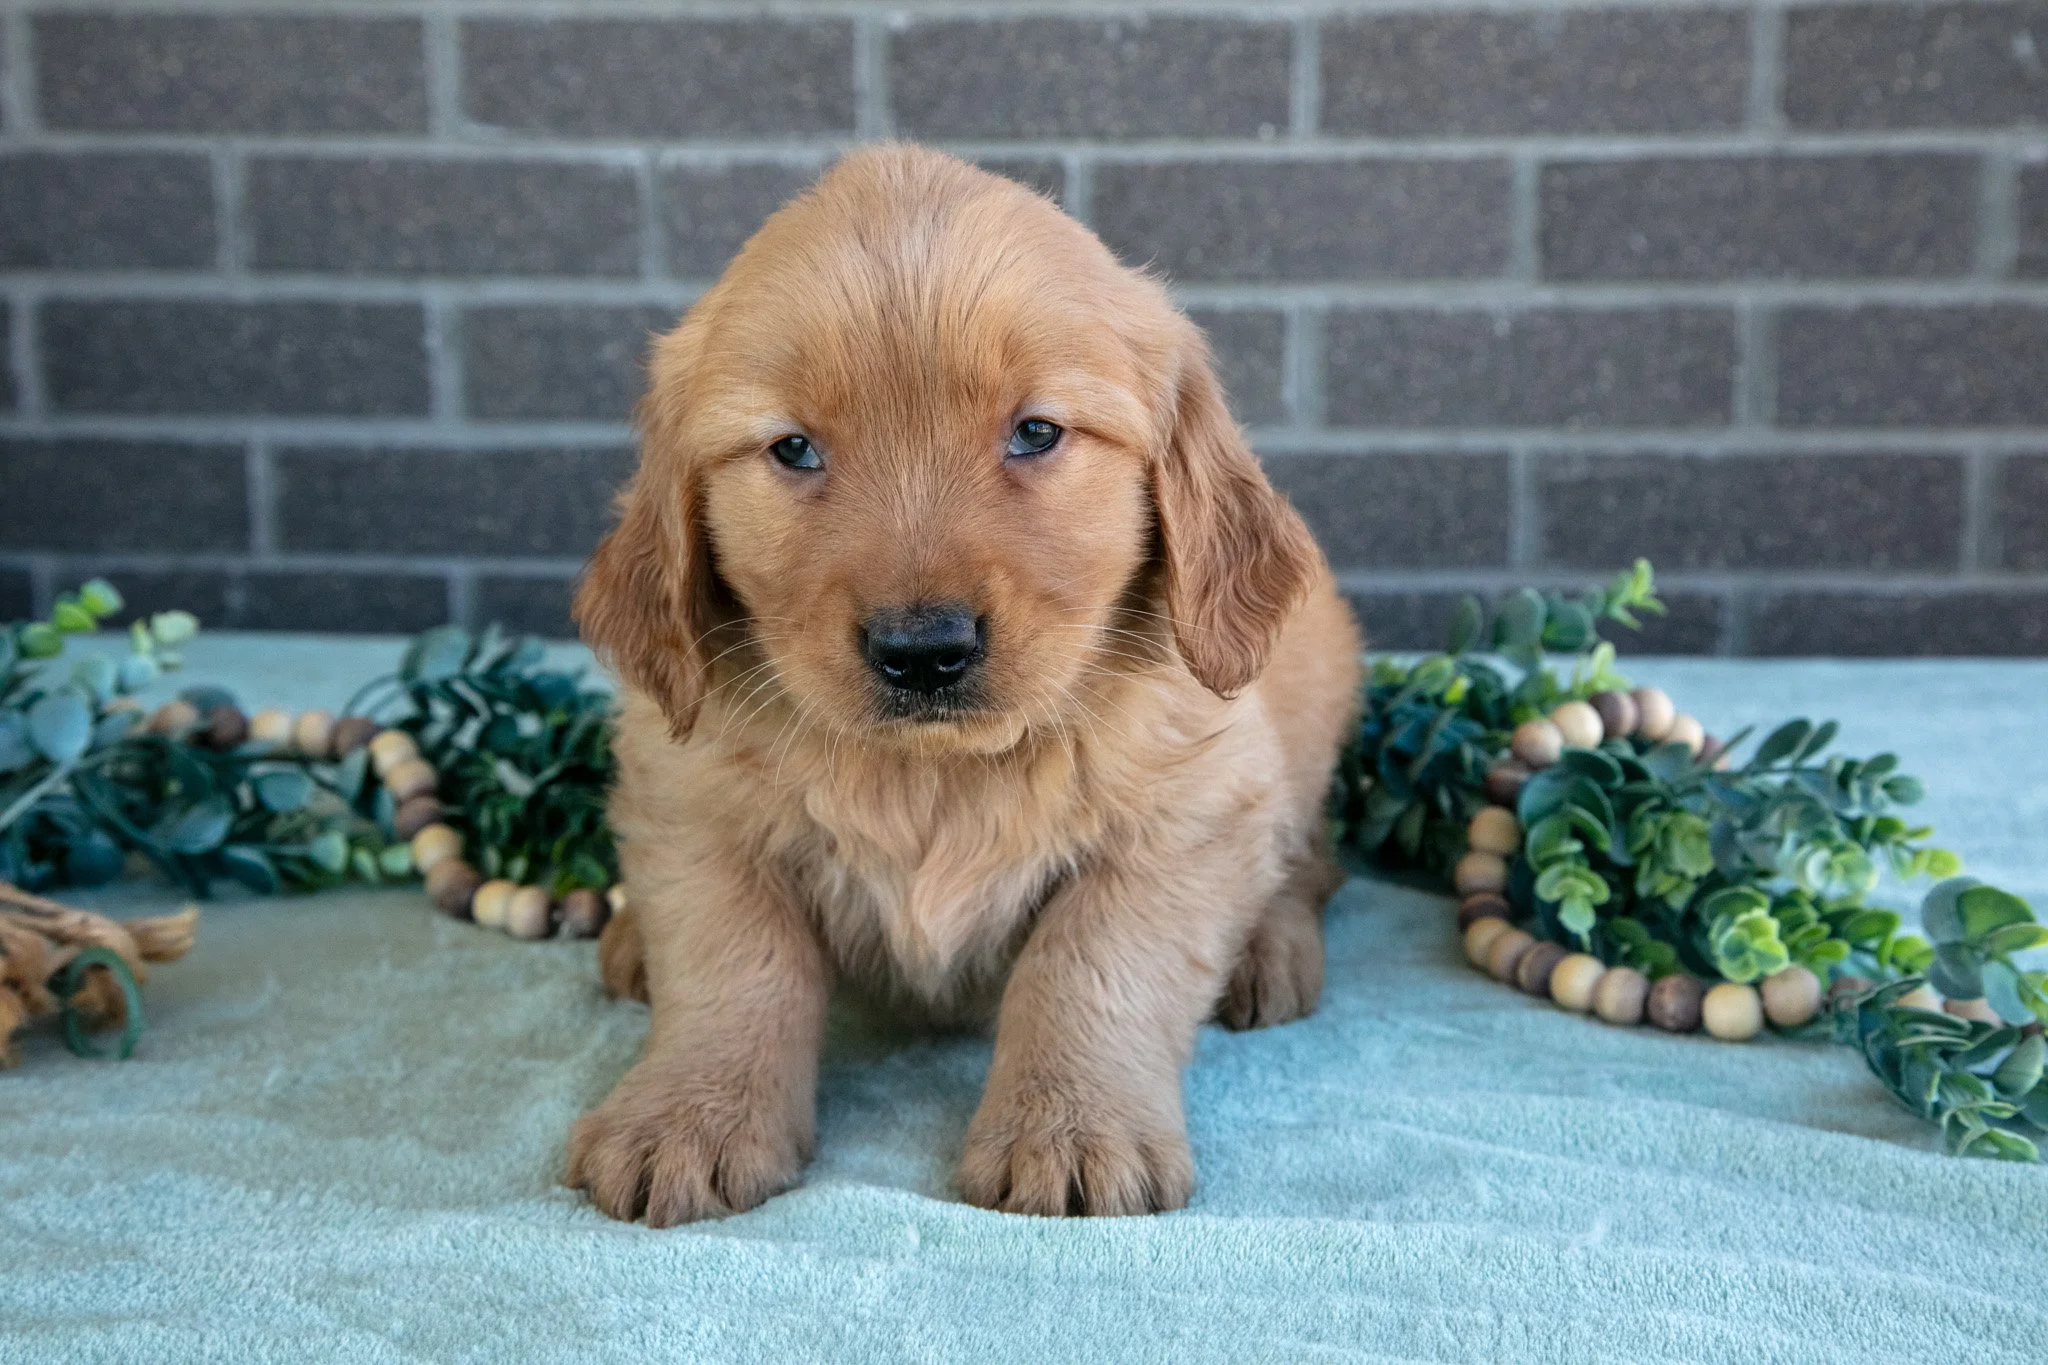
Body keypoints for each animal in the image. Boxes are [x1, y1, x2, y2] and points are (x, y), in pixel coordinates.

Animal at [567, 144, 1362, 1225]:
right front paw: (688, 1113)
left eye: (1035, 433)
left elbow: (1088, 966)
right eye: (793, 448)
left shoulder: (1186, 811)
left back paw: (1268, 951)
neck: (935, 773)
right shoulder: (689, 805)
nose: (923, 651)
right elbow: (734, 966)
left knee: (1312, 858)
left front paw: (1070, 1127)